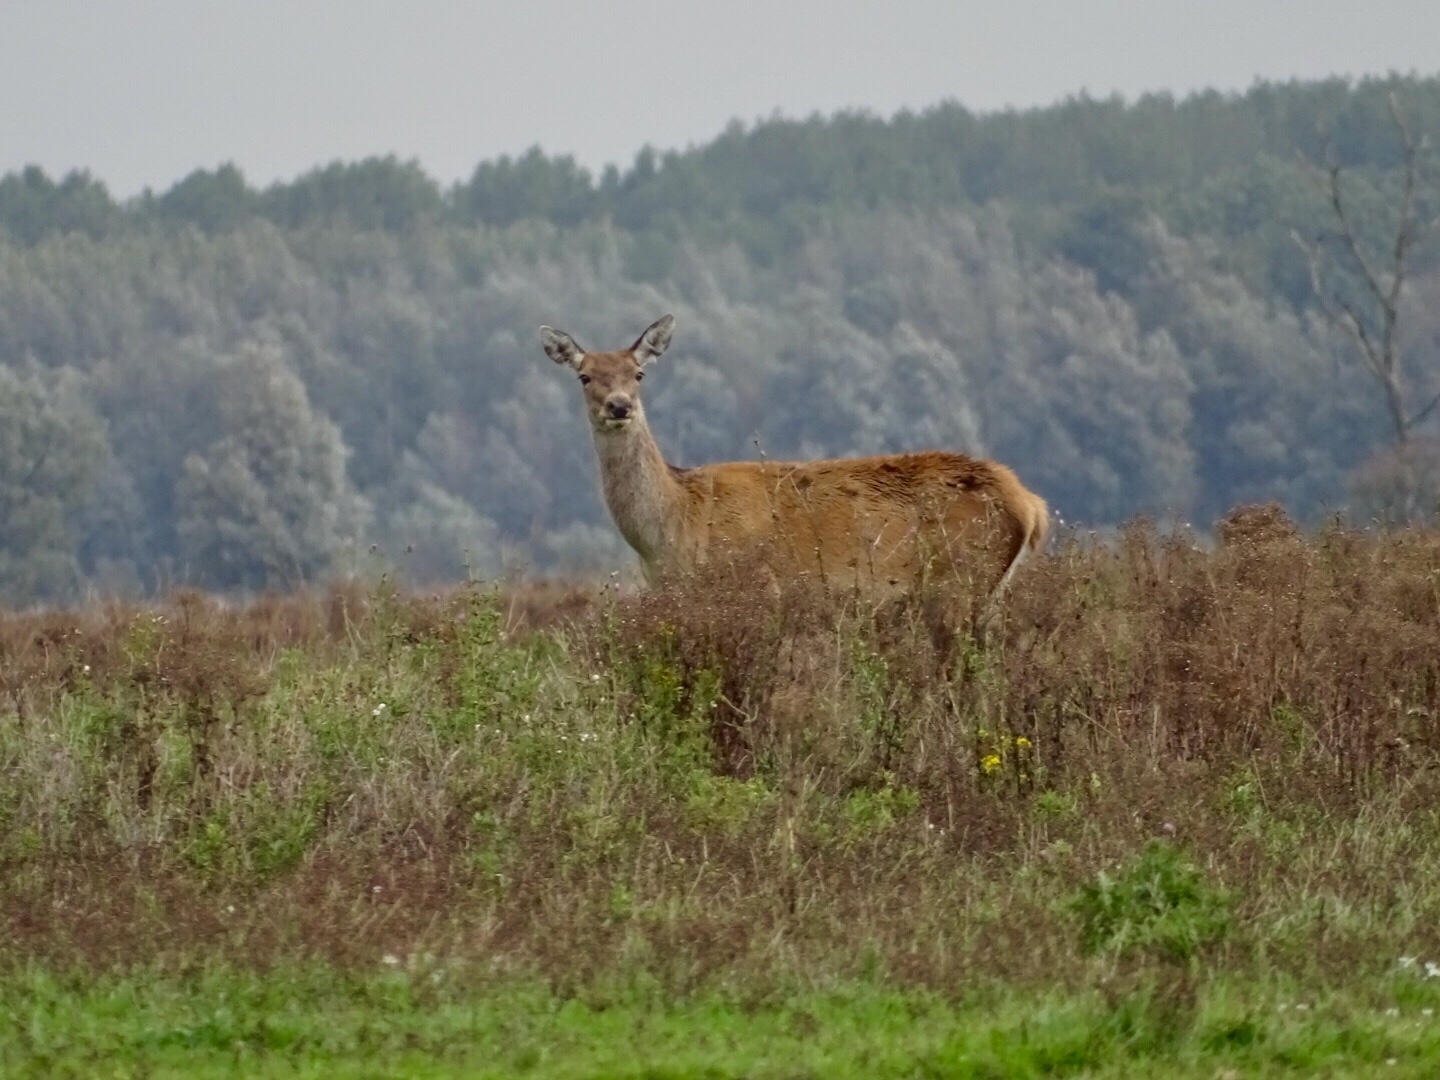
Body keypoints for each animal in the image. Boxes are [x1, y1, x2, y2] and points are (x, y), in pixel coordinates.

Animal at [541, 312, 1048, 616]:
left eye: (638, 373)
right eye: (584, 376)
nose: (620, 405)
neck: (674, 531)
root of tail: (1031, 506)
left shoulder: (761, 591)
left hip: (961, 584)